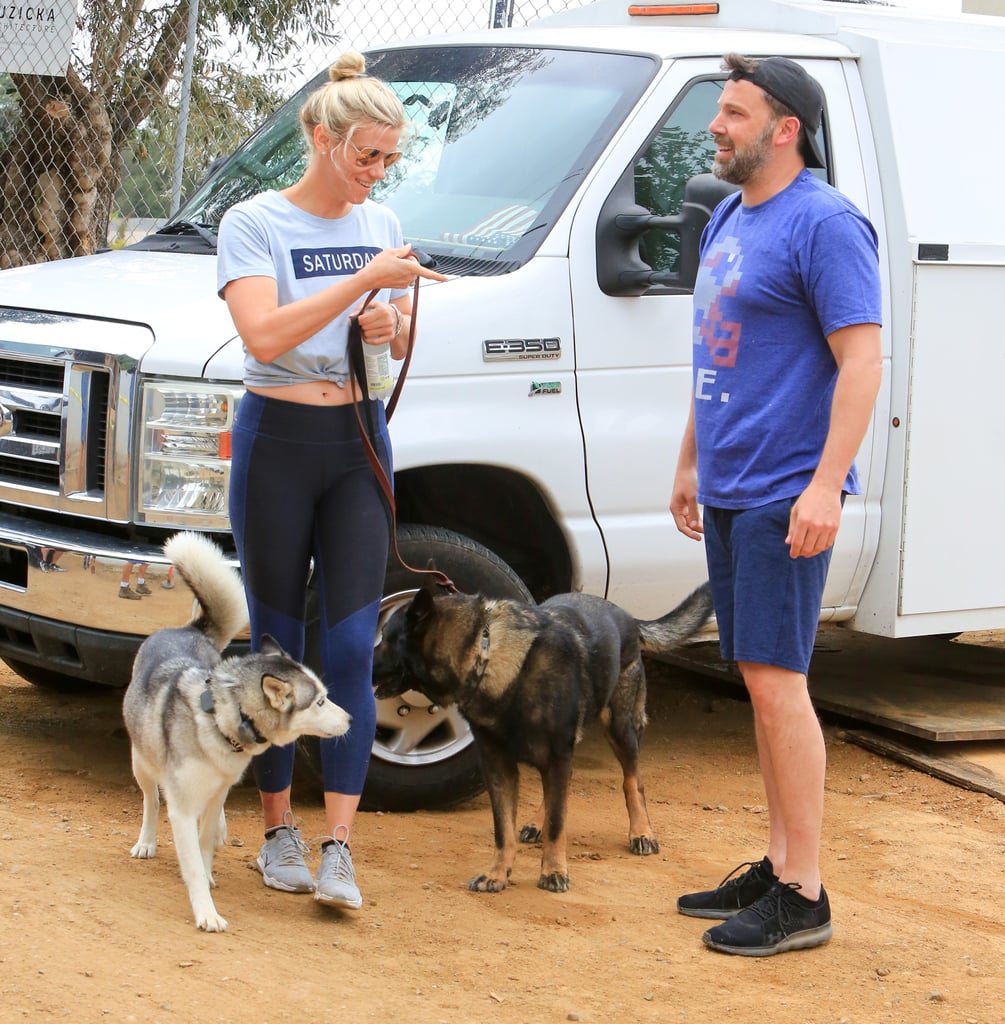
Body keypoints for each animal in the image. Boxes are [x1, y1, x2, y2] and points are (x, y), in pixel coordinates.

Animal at [123, 532, 350, 933]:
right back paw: (146, 841)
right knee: (151, 800)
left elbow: (203, 850)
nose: (352, 719)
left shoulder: (215, 793)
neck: (221, 720)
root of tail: (188, 630)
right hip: (142, 763)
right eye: (320, 702)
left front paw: (209, 868)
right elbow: (191, 860)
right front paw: (206, 912)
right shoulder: (182, 808)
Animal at [372, 577, 708, 897]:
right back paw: (537, 823)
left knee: (631, 781)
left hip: (619, 726)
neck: (489, 654)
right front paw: (498, 873)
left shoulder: (557, 755)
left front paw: (554, 871)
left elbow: (559, 823)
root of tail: (626, 615)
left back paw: (641, 832)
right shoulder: (500, 766)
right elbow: (503, 829)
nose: (360, 660)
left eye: (385, 638)